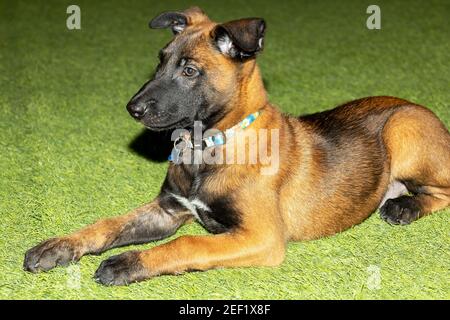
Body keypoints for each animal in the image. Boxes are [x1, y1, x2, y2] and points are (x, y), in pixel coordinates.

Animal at [23, 7, 450, 284]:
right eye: (160, 61)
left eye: (189, 70)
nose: (133, 108)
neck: (208, 145)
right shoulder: (168, 210)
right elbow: (109, 224)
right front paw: (60, 245)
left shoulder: (260, 237)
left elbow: (188, 243)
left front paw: (127, 262)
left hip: (403, 130)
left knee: (441, 190)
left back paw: (405, 206)